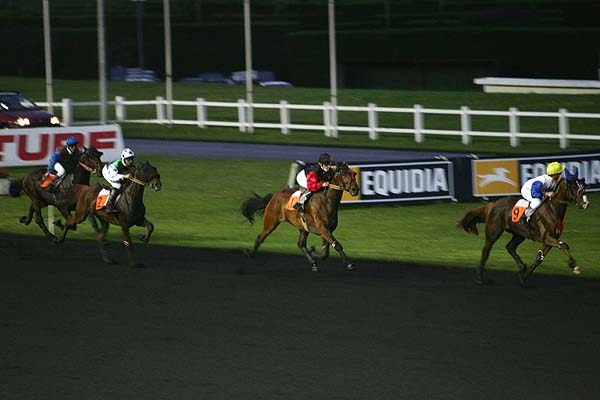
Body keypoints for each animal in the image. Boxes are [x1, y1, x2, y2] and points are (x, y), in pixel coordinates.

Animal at [460, 169, 592, 288]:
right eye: (574, 187)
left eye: (583, 187)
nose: (585, 203)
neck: (553, 210)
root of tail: (493, 205)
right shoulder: (546, 237)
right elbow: (564, 246)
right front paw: (574, 266)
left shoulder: (550, 240)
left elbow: (540, 258)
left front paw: (524, 278)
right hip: (493, 232)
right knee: (486, 252)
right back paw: (479, 279)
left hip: (519, 234)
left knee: (510, 247)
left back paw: (522, 266)